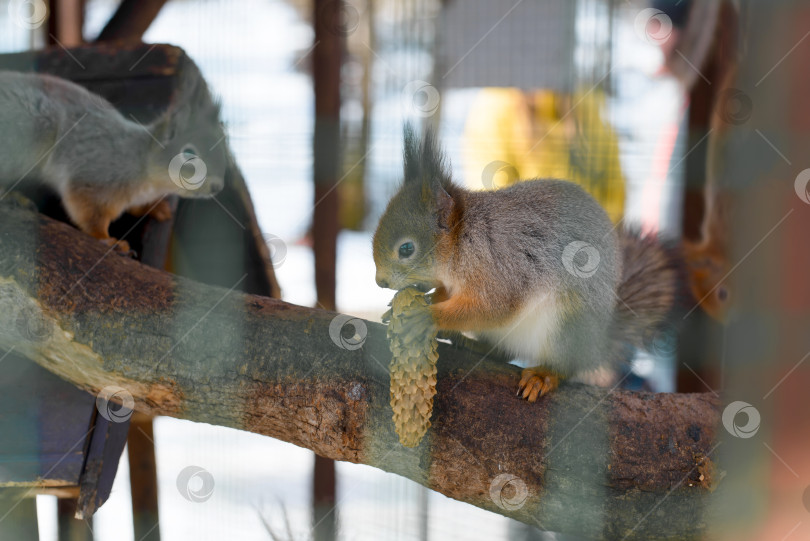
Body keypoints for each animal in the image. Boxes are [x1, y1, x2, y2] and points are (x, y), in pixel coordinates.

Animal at [0, 69, 226, 251]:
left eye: (224, 148)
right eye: (188, 153)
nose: (217, 187)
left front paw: (156, 208)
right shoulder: (96, 175)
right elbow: (87, 210)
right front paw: (108, 239)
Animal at [372, 125, 680, 396]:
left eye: (406, 249)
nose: (380, 281)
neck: (461, 240)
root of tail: (597, 346)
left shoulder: (498, 263)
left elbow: (494, 306)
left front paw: (426, 316)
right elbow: (449, 295)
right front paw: (411, 304)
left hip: (568, 323)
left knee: (564, 365)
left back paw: (544, 375)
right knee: (504, 352)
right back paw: (470, 343)